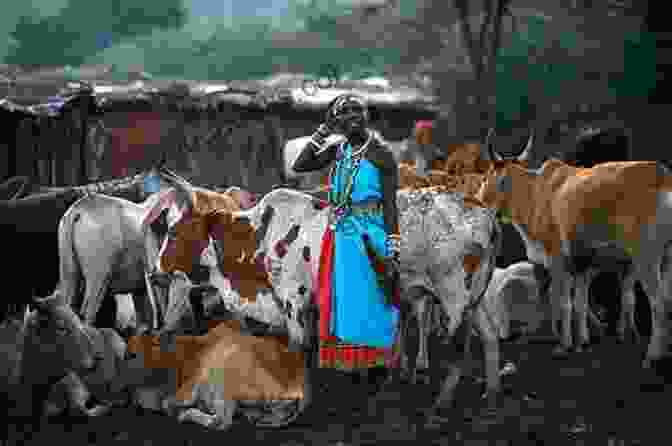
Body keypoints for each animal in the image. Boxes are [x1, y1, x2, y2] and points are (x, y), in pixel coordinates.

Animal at [476, 139, 672, 372]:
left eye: (486, 176)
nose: (477, 200)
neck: (535, 193)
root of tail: (662, 176)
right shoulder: (579, 266)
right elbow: (579, 302)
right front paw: (580, 342)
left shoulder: (556, 259)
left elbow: (562, 302)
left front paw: (563, 345)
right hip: (666, 257)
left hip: (646, 257)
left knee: (658, 303)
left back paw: (652, 357)